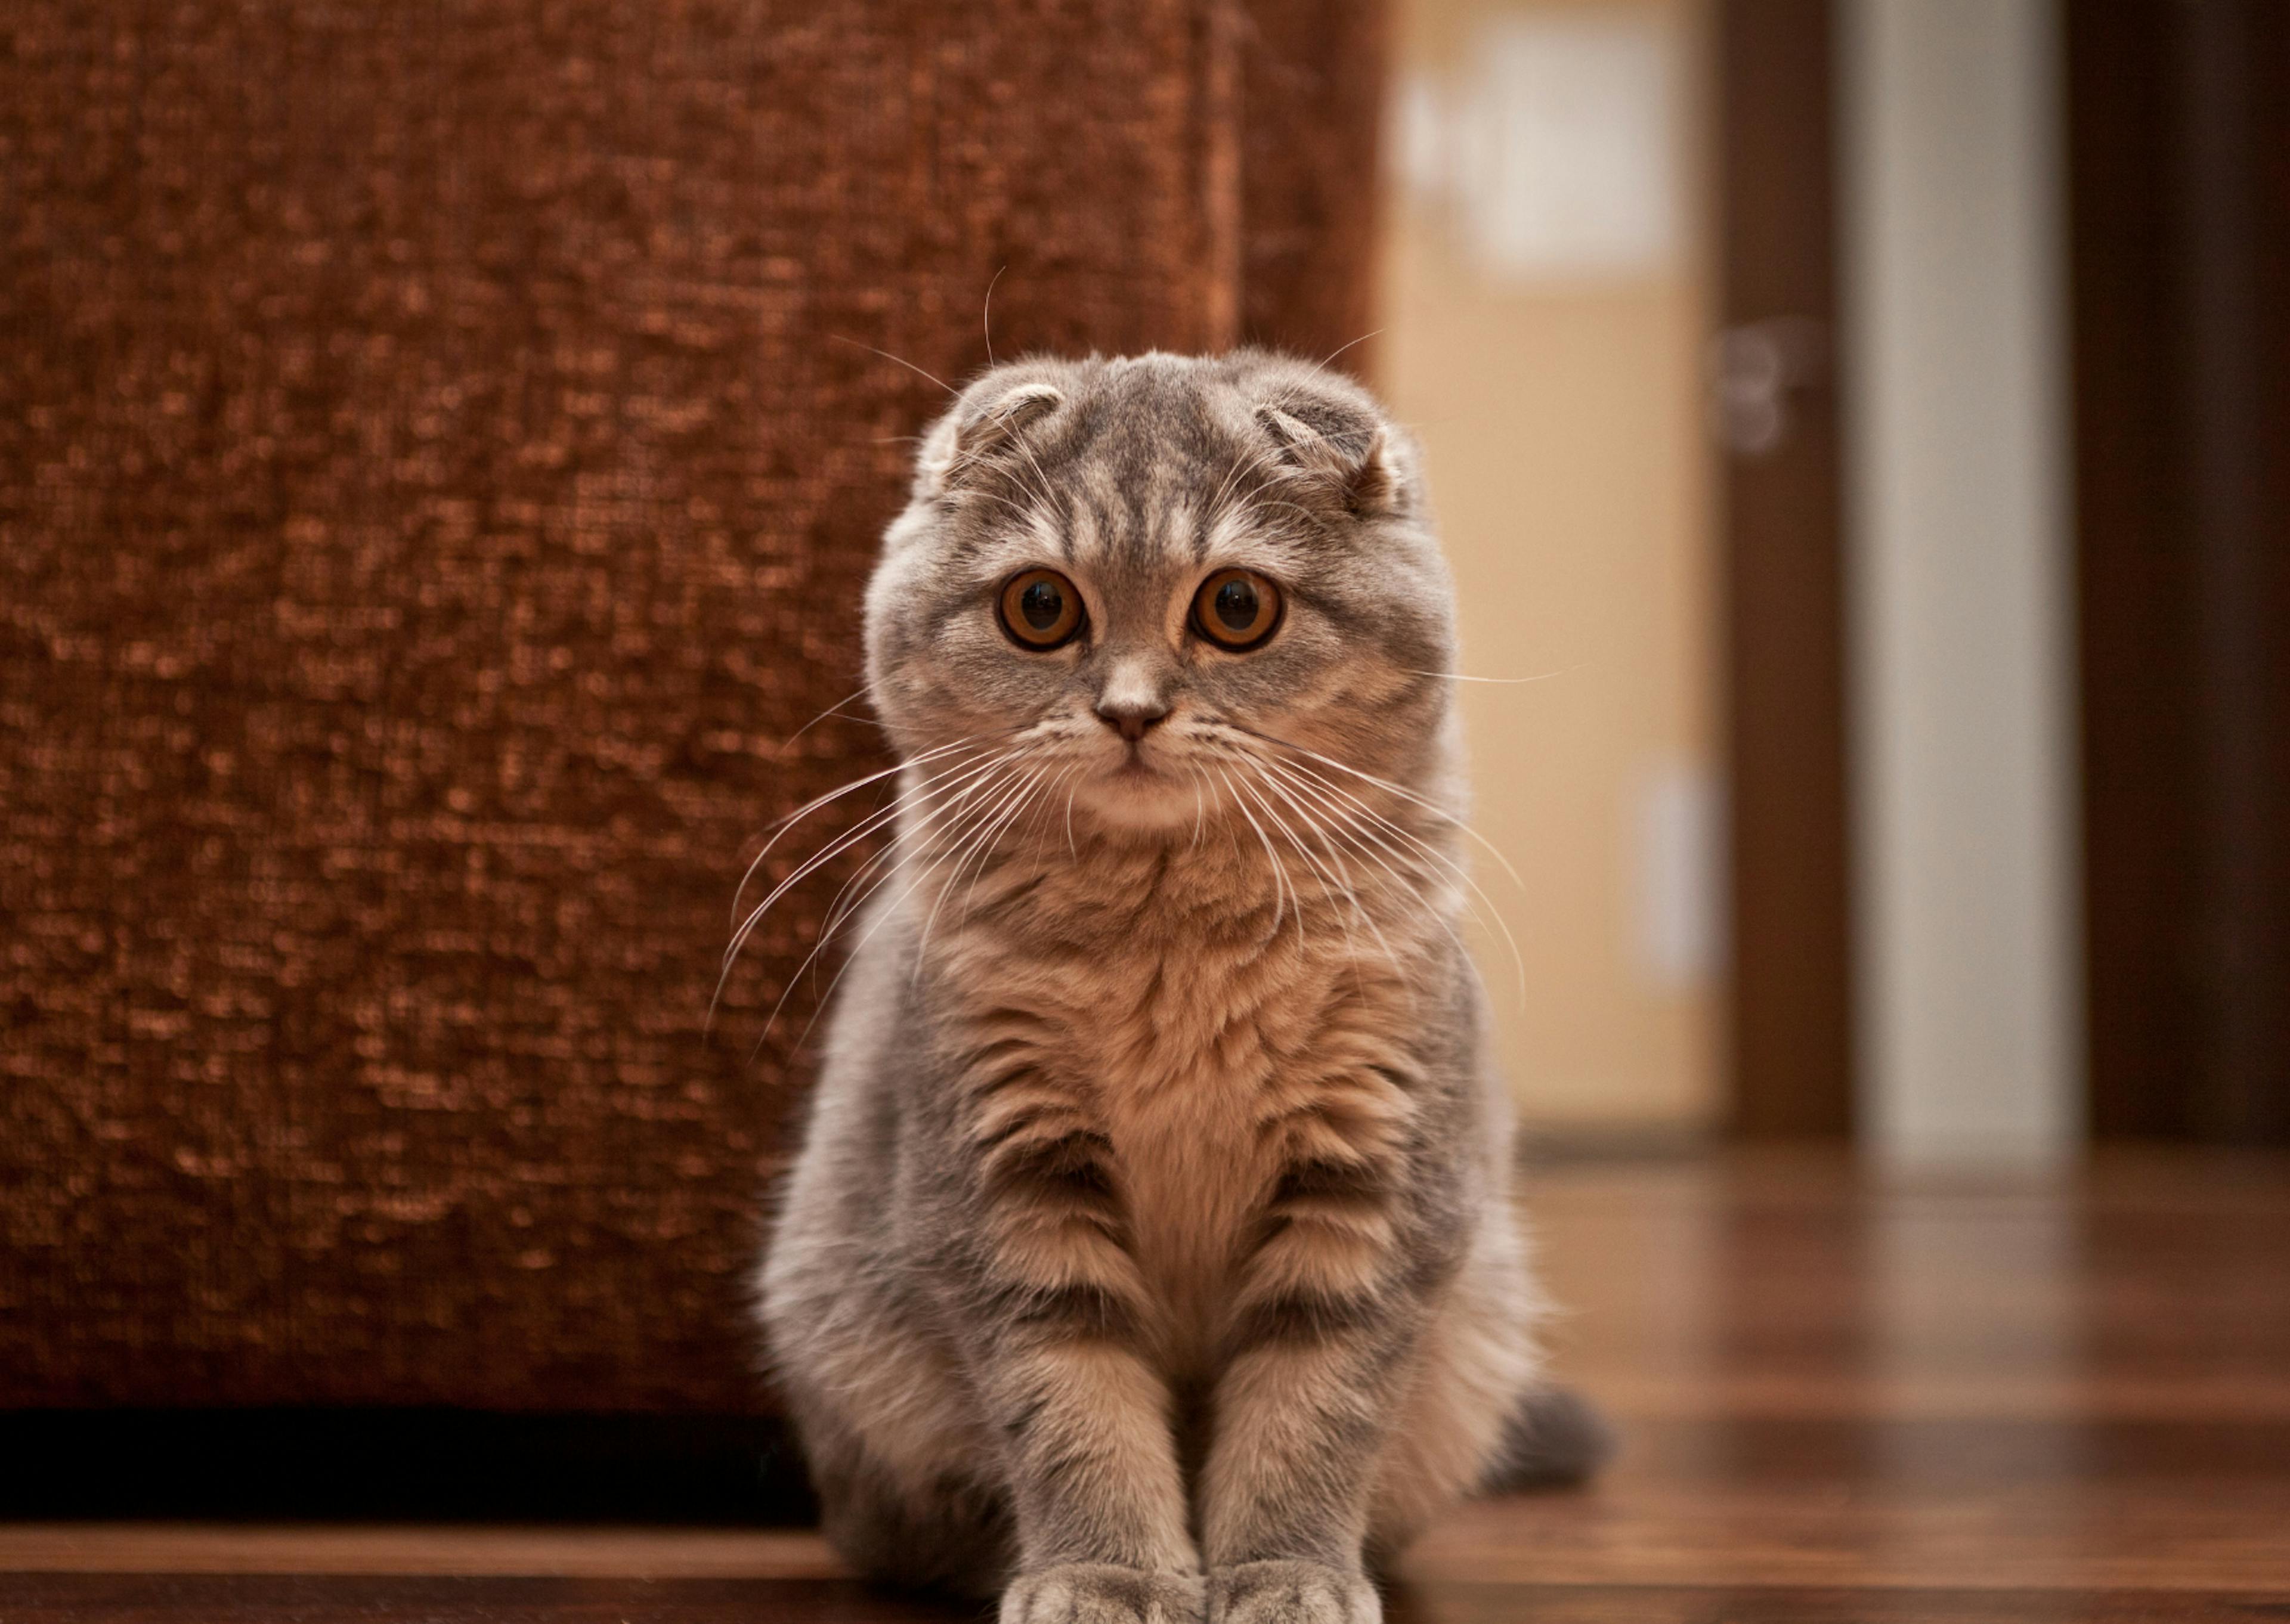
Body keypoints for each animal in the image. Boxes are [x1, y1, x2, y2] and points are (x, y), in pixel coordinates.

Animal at [756, 348, 1612, 1612]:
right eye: (1042, 607)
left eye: (1236, 607)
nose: (1130, 711)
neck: (1174, 958)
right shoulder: (1003, 1181)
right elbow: (1075, 1408)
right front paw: (1103, 1573)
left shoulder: (1370, 1187)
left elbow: (1309, 1416)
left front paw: (1285, 1573)